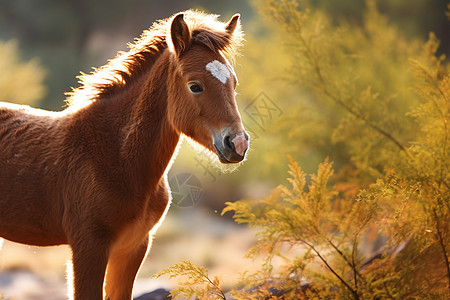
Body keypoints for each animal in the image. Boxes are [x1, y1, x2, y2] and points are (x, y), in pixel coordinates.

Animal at [0, 9, 248, 300]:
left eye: (234, 83)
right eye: (195, 86)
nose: (238, 143)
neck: (115, 155)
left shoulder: (135, 245)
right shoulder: (89, 247)